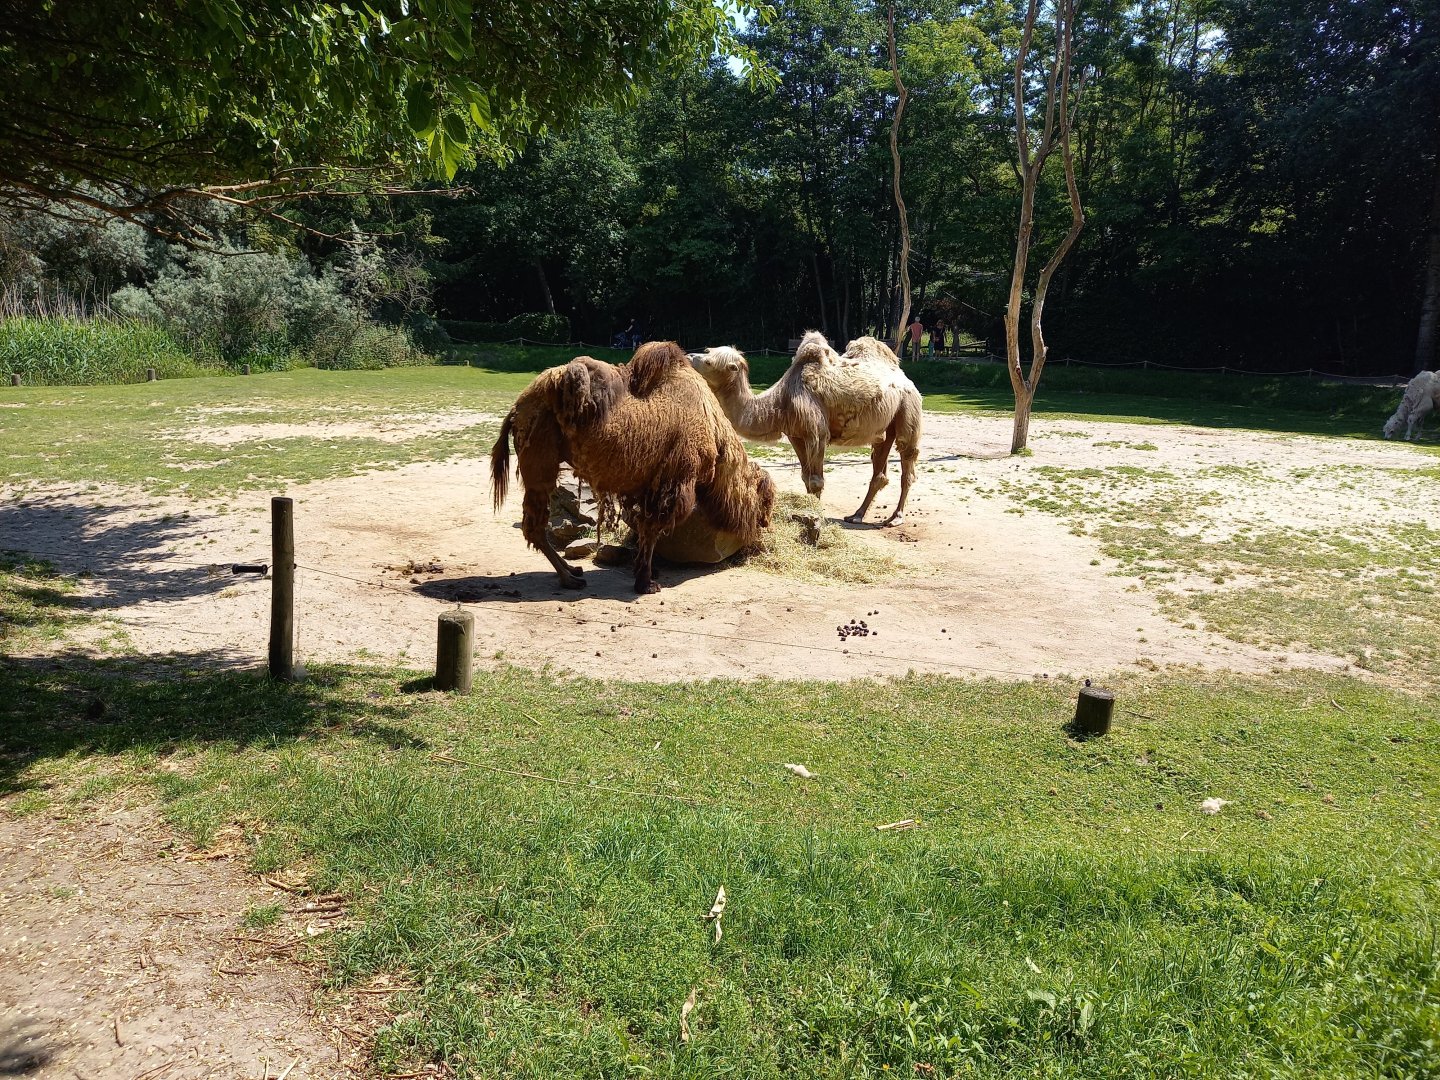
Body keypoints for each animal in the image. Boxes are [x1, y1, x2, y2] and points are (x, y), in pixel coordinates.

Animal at [490, 341, 775, 593]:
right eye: (765, 500)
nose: (763, 526)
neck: (716, 436)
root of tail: (517, 407)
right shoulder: (675, 480)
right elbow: (652, 529)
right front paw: (646, 583)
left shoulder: (650, 485)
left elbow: (643, 527)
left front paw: (647, 571)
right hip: (540, 461)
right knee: (535, 526)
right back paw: (570, 579)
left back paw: (573, 570)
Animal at [689, 331, 923, 525]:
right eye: (707, 351)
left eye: (708, 361)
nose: (690, 356)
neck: (781, 400)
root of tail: (904, 377)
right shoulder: (795, 434)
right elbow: (806, 478)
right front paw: (808, 514)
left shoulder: (815, 433)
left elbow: (816, 480)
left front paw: (817, 518)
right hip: (884, 427)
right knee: (879, 467)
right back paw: (856, 515)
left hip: (908, 407)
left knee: (907, 460)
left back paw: (895, 517)